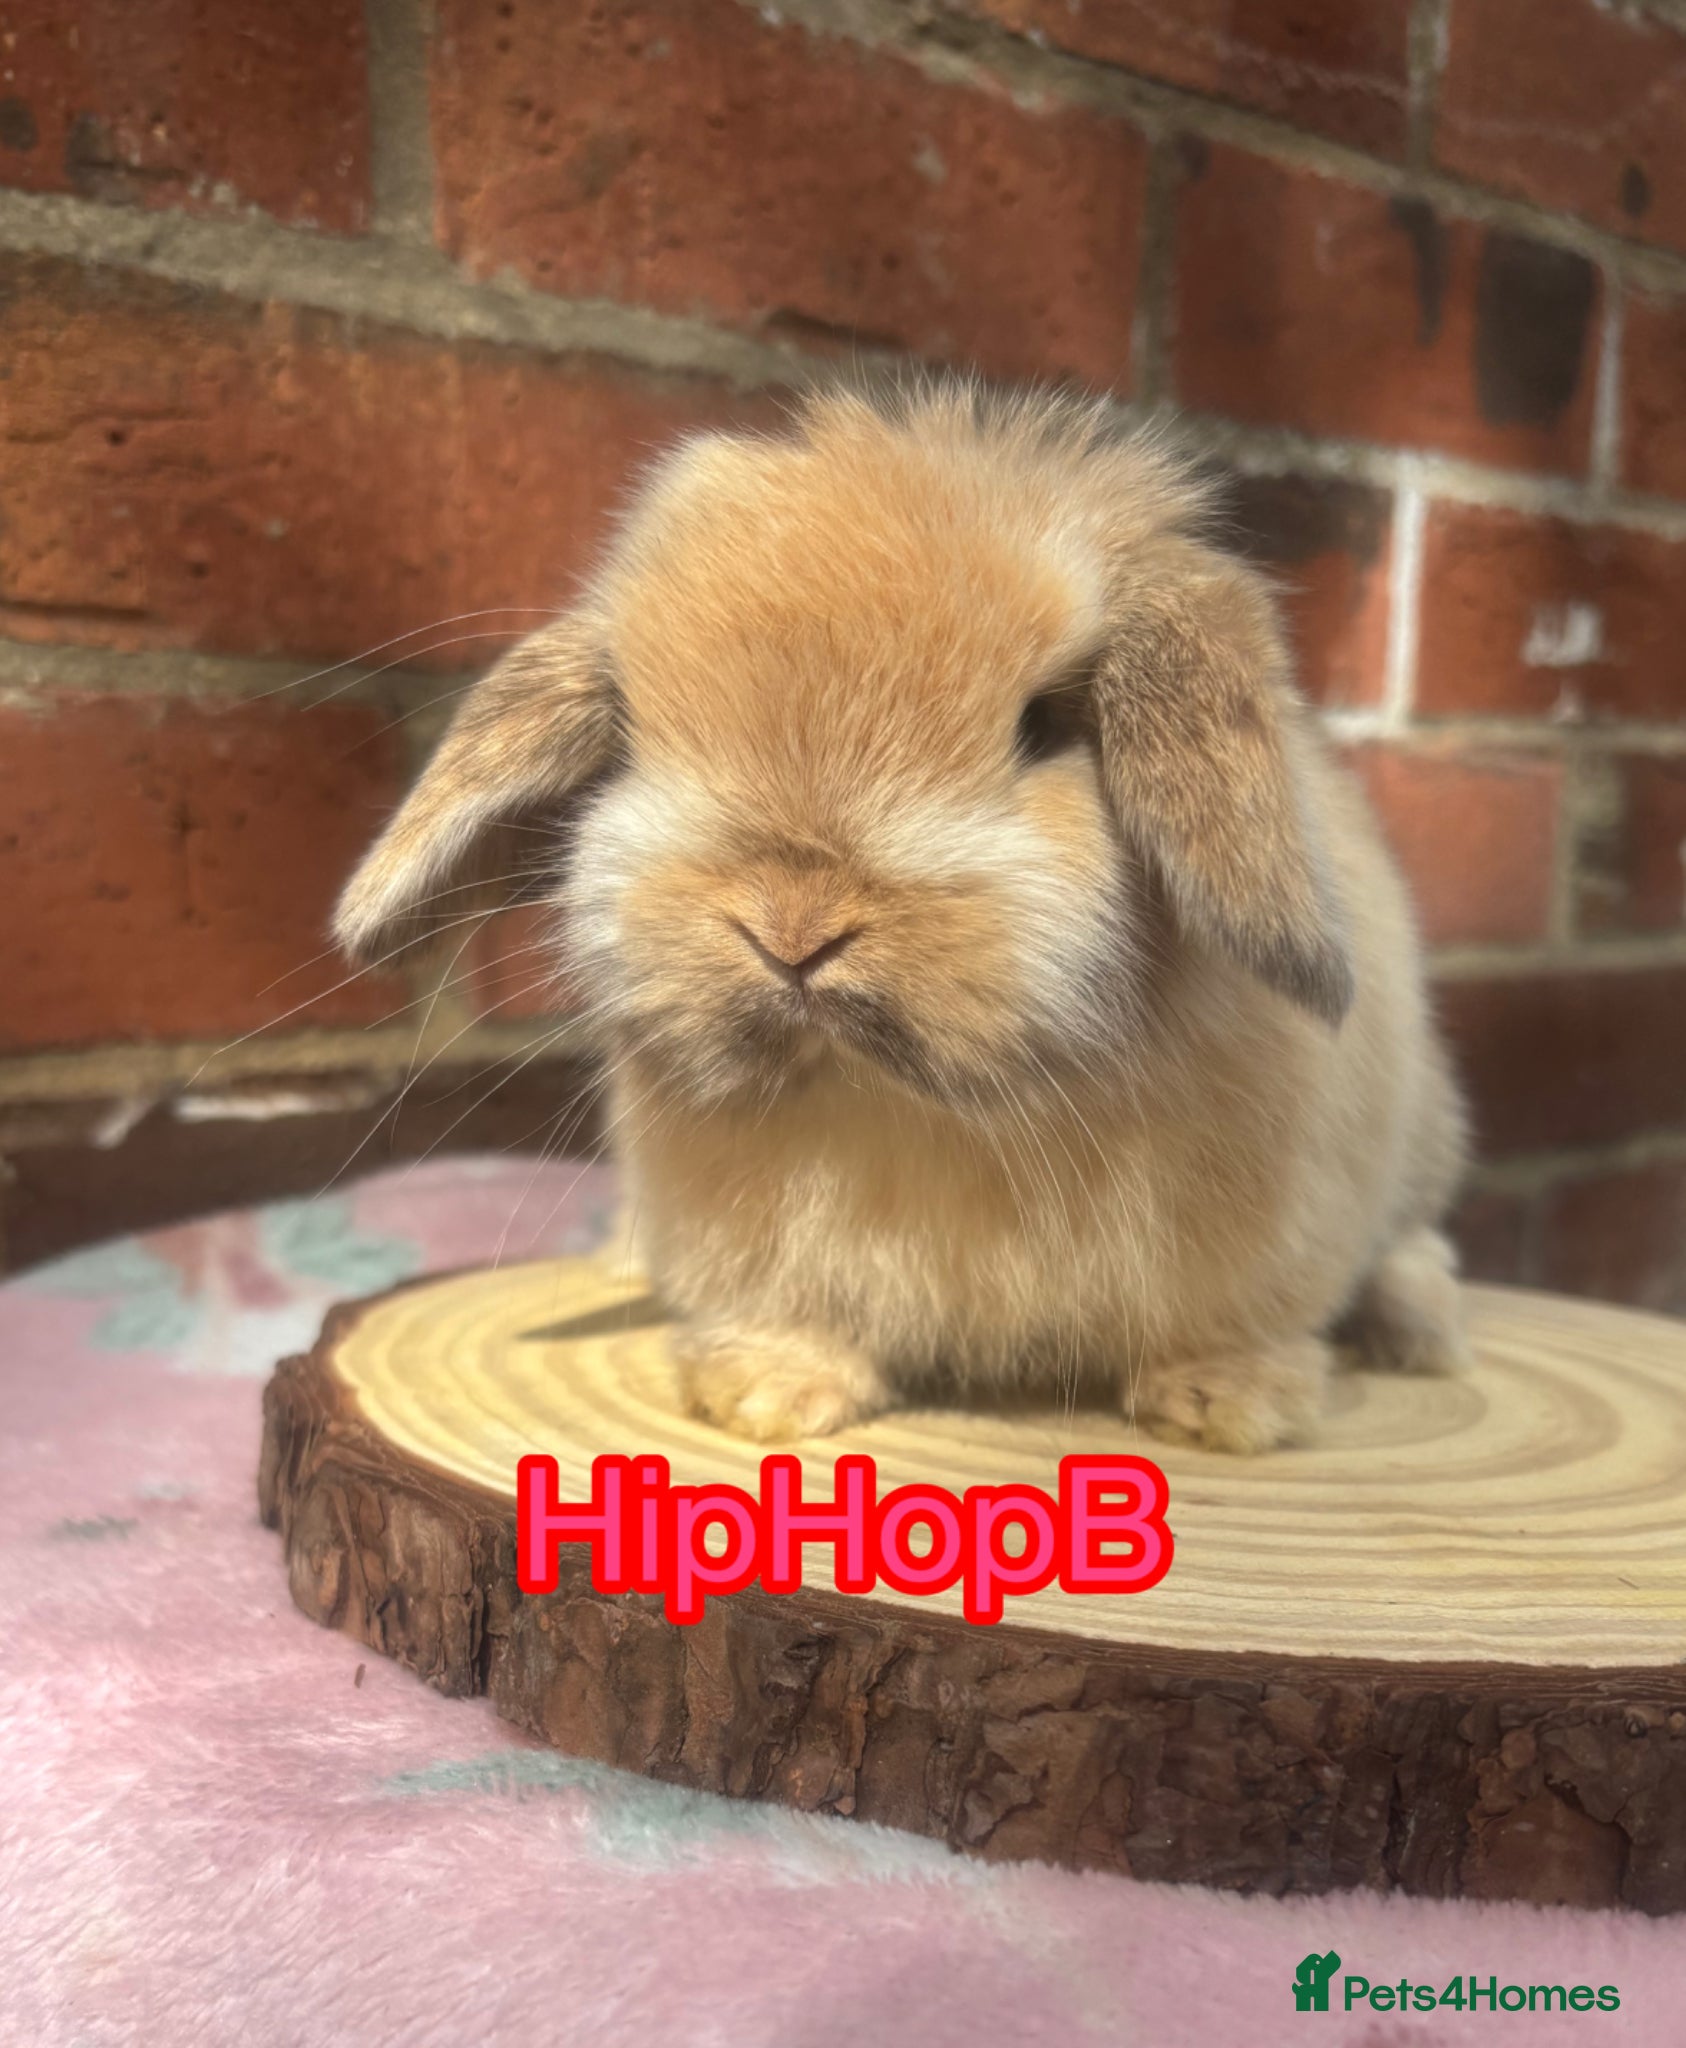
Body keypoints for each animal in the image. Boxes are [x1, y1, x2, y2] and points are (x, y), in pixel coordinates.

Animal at [335, 381, 1469, 1454]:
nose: (794, 928)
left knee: (1413, 1242)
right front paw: (759, 1395)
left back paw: (1419, 1331)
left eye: (1043, 727)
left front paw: (1224, 1407)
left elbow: (1241, 1326)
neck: (903, 1104)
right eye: (632, 735)